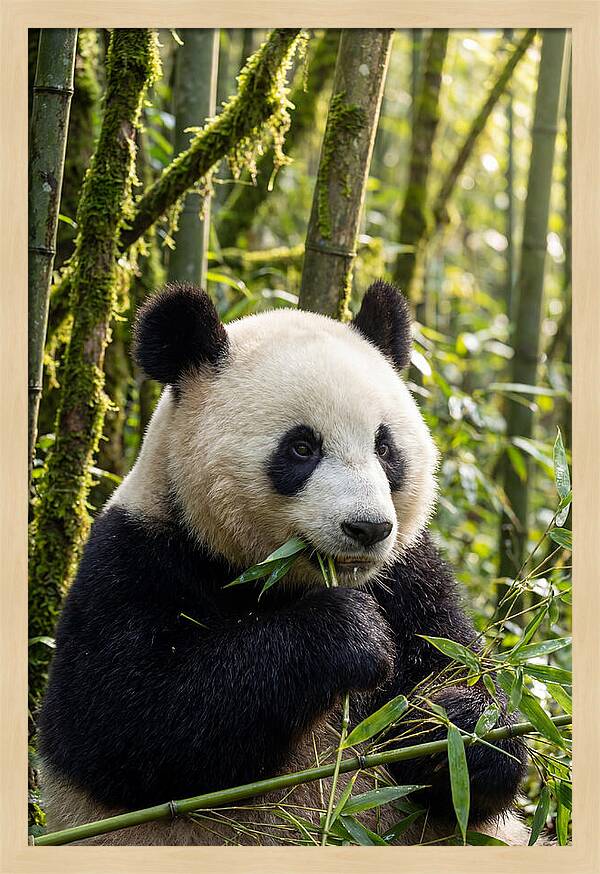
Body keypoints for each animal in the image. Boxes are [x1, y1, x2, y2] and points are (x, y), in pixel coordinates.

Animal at [38, 280, 529, 845]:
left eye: (385, 448)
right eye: (301, 447)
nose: (367, 528)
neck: (280, 577)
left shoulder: (410, 576)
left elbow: (464, 683)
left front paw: (458, 729)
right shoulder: (135, 559)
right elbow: (130, 722)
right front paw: (350, 634)